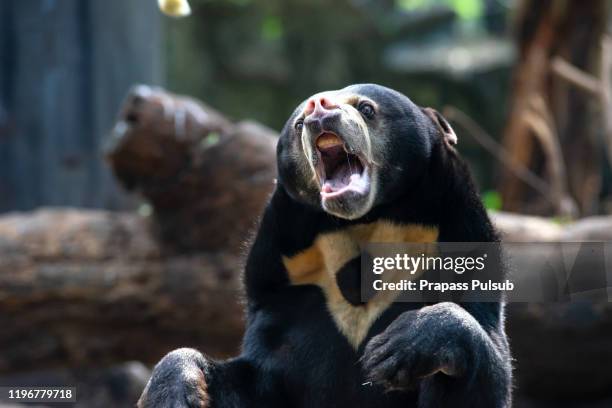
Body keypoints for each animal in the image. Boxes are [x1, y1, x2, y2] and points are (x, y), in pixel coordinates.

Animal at [137, 83, 512, 408]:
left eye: (366, 108)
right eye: (299, 122)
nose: (318, 106)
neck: (363, 224)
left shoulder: (462, 244)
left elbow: (482, 361)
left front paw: (394, 348)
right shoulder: (284, 286)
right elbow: (251, 376)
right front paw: (174, 391)